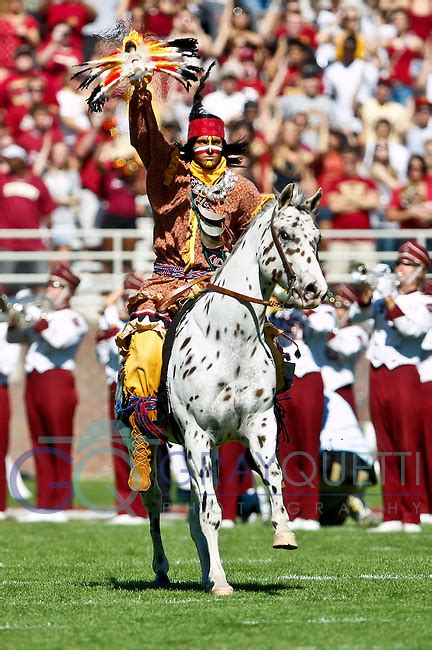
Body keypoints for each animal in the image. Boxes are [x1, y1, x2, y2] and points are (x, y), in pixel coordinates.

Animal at [140, 181, 326, 592]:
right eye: (285, 234)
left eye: (316, 237)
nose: (315, 289)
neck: (228, 341)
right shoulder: (196, 434)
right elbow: (211, 511)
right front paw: (223, 583)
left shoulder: (258, 425)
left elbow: (273, 477)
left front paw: (283, 533)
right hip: (146, 438)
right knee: (155, 499)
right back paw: (162, 567)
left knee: (193, 509)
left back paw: (204, 573)